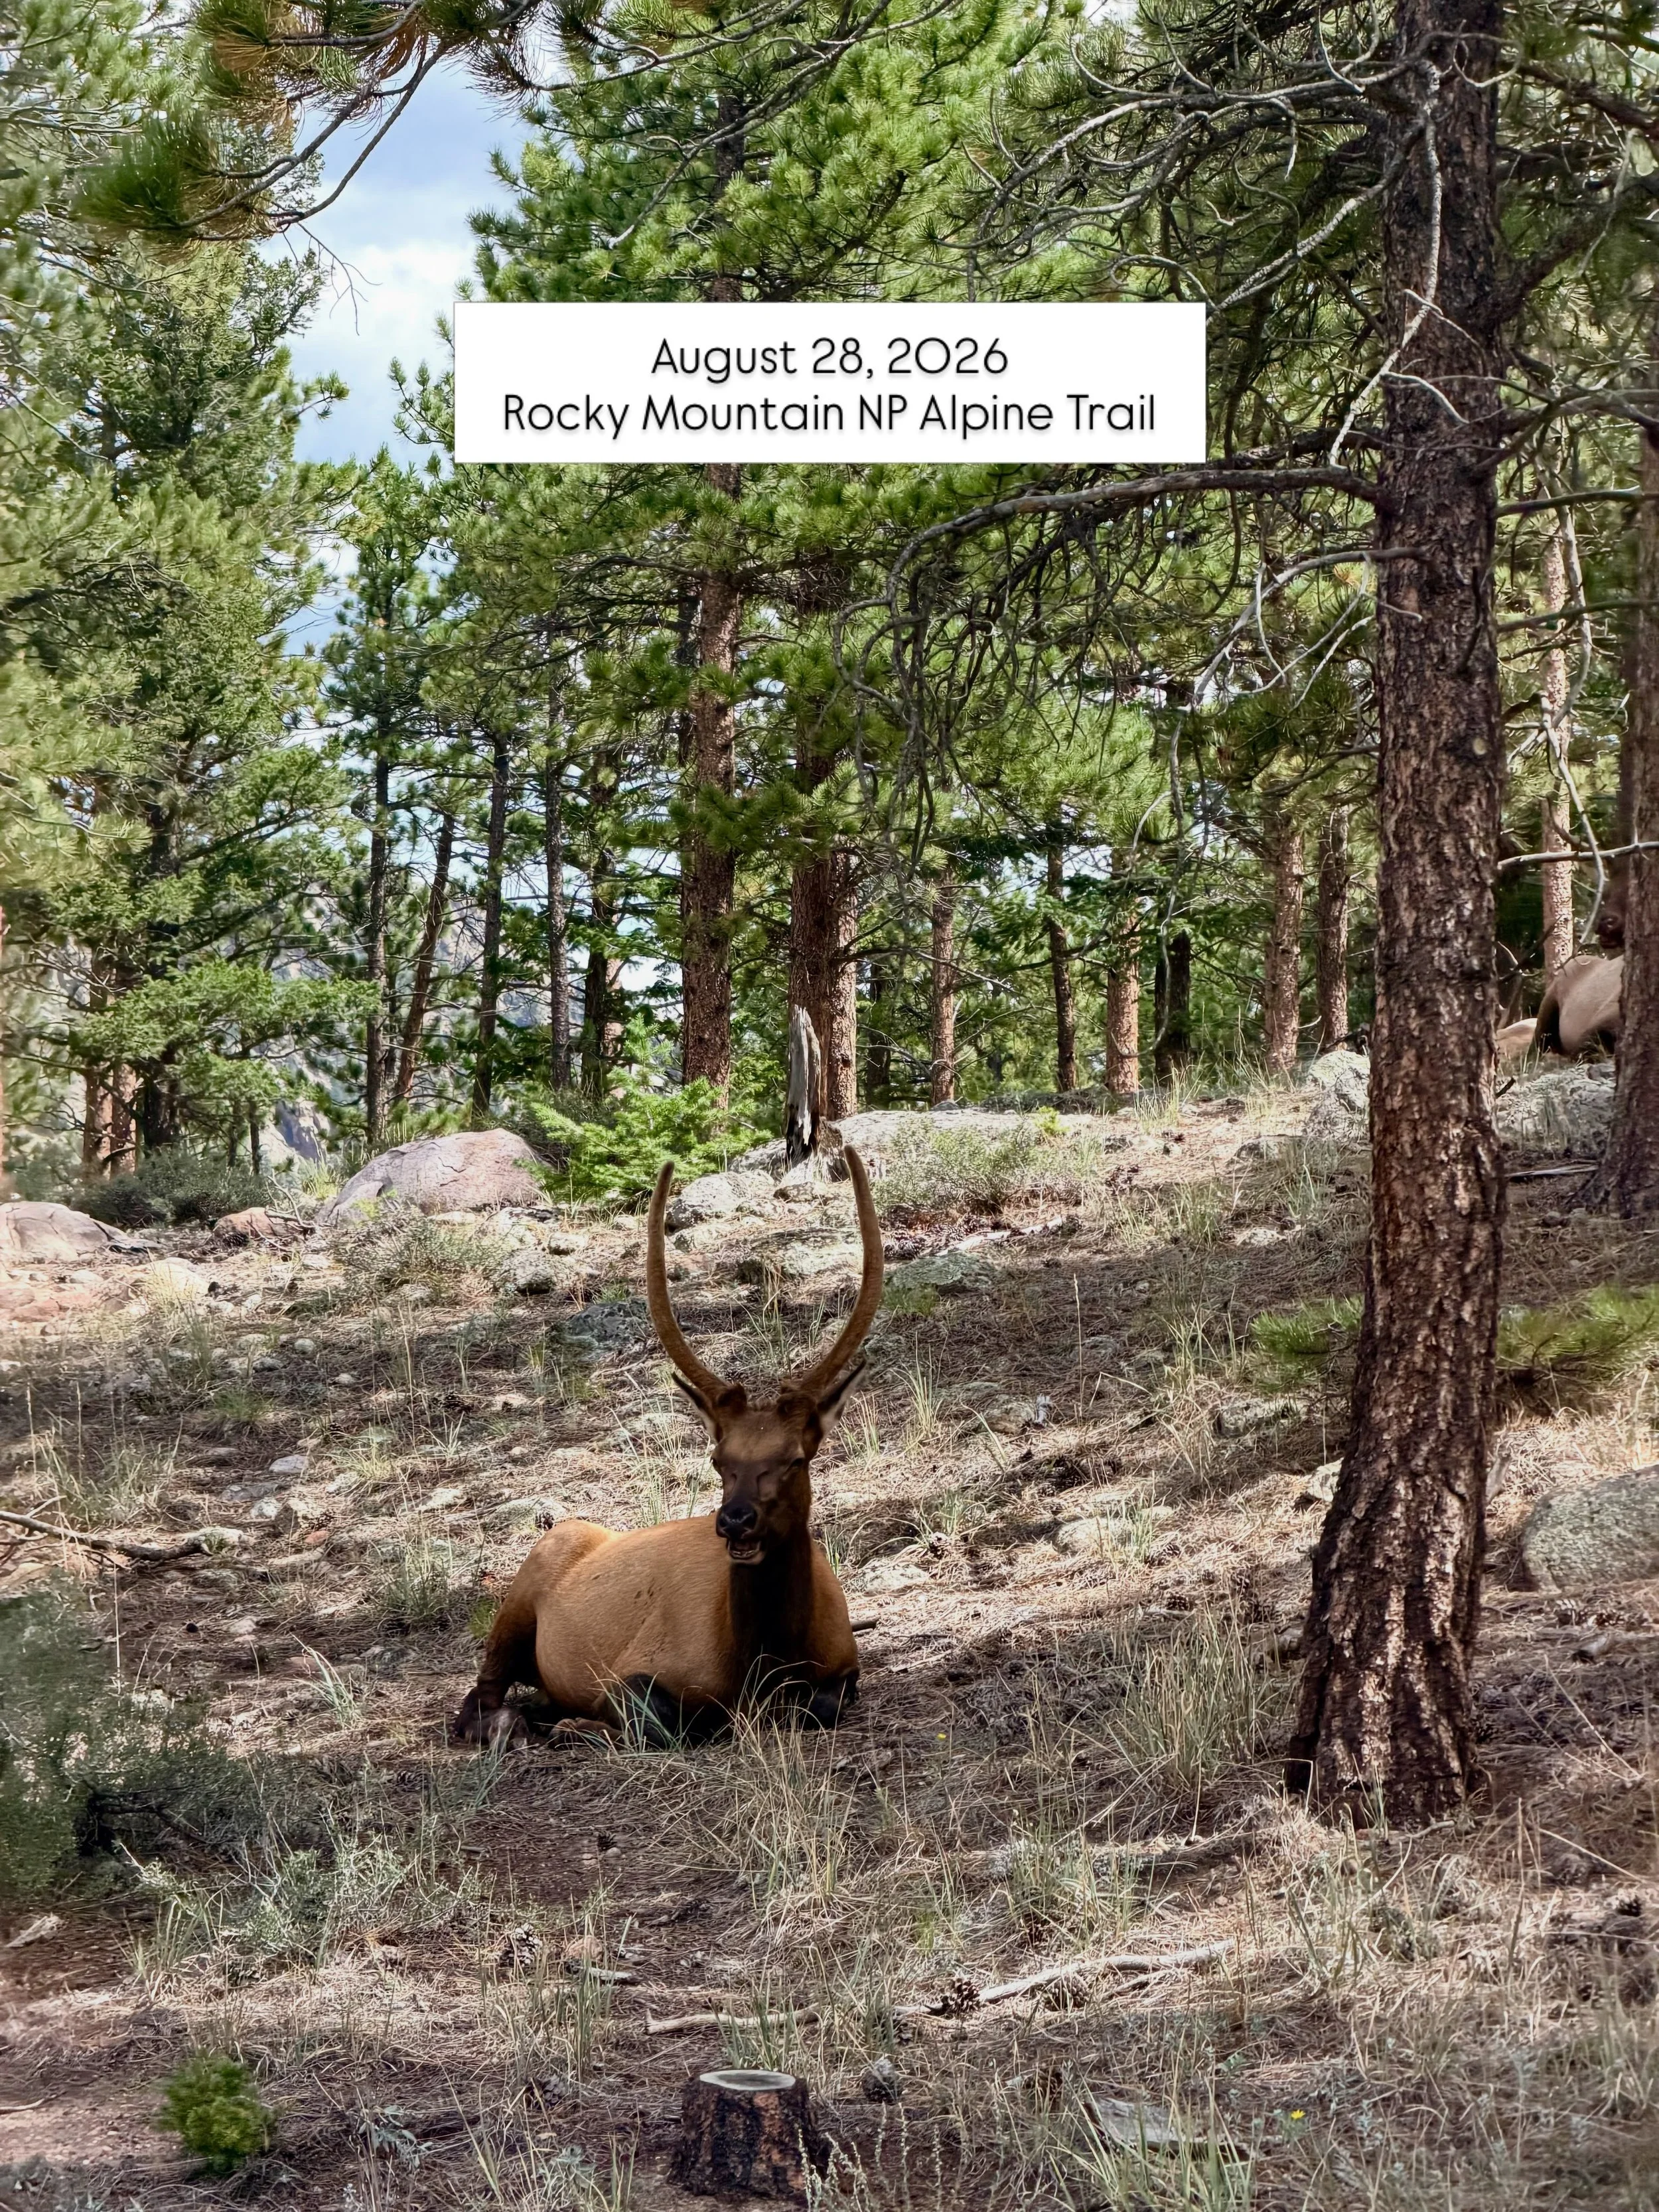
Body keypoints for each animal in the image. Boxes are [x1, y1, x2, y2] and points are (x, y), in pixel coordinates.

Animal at [452, 1148, 882, 1749]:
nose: (735, 1520)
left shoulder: (847, 1663)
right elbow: (669, 1717)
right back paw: (515, 1724)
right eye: (719, 1460)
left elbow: (822, 1703)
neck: (766, 1661)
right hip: (519, 1596)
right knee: (477, 1695)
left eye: (797, 1458)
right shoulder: (635, 1669)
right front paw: (582, 1724)